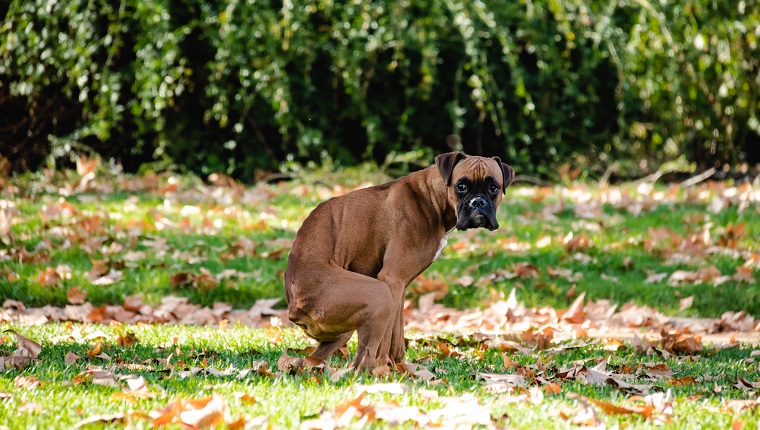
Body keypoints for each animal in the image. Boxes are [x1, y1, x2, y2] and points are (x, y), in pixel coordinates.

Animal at [284, 151, 516, 370]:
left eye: (493, 188)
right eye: (461, 186)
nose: (478, 202)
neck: (432, 198)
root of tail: (294, 308)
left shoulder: (400, 287)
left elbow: (397, 333)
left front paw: (400, 367)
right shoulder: (391, 281)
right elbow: (386, 339)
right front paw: (384, 369)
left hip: (343, 329)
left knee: (313, 360)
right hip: (379, 295)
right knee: (362, 360)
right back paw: (372, 372)